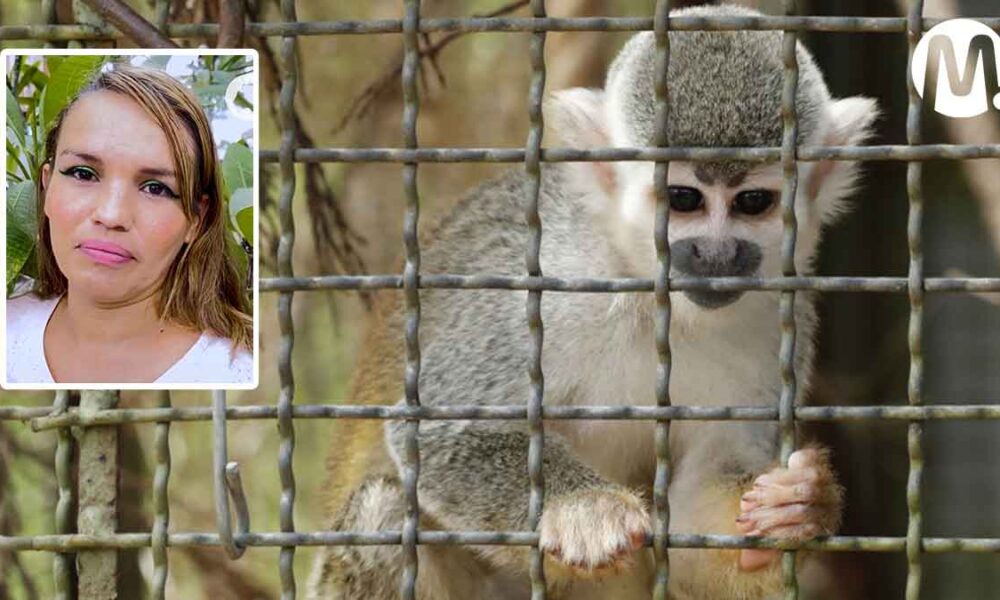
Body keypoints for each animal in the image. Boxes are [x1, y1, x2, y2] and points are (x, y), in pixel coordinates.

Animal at [307, 5, 878, 600]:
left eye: (752, 203)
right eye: (684, 199)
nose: (715, 254)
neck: (653, 299)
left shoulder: (779, 320)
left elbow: (697, 523)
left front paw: (800, 506)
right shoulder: (542, 280)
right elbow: (436, 430)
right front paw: (584, 507)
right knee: (383, 511)